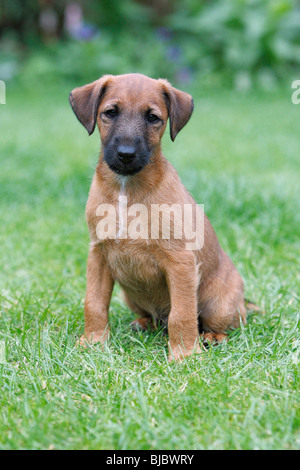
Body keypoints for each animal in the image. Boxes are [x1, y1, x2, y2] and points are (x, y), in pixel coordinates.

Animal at [69, 72, 246, 360]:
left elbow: (182, 313)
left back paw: (212, 337)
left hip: (219, 304)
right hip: (130, 295)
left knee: (223, 322)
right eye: (110, 112)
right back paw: (143, 324)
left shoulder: (180, 262)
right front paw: (92, 342)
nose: (126, 154)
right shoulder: (98, 255)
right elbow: (94, 302)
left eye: (152, 117)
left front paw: (185, 355)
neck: (126, 189)